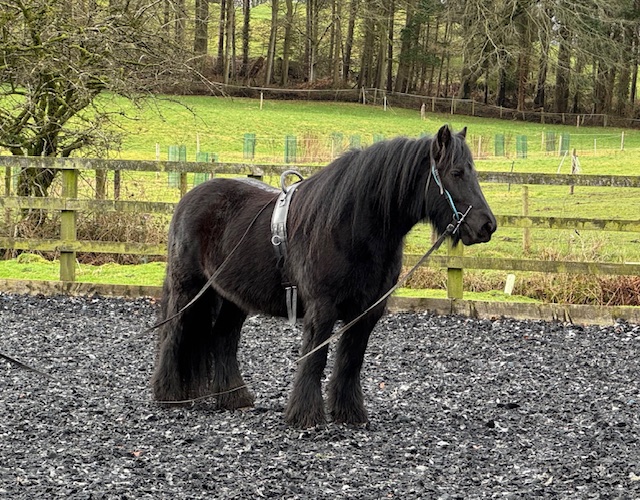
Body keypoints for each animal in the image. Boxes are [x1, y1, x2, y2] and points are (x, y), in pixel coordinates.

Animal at [151, 124, 497, 428]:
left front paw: (349, 413)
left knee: (222, 339)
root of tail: (189, 198)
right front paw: (305, 416)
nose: (487, 225)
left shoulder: (367, 311)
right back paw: (169, 395)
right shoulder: (323, 308)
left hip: (232, 298)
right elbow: (315, 358)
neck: (351, 226)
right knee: (174, 333)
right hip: (189, 288)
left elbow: (351, 360)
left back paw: (234, 398)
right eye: (456, 173)